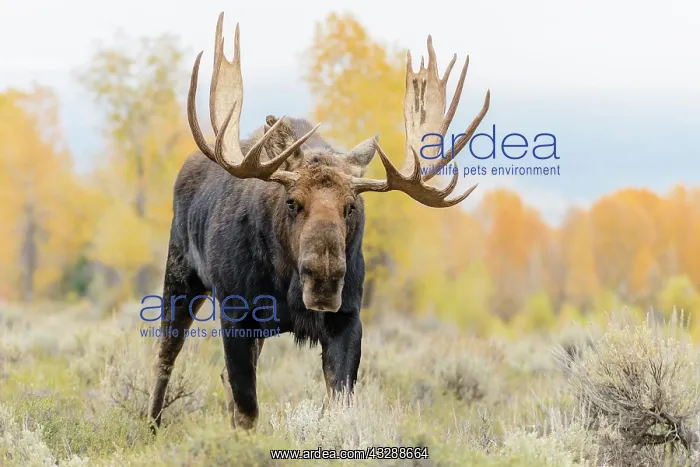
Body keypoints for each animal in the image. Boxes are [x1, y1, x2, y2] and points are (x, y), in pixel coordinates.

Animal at [147, 11, 490, 431]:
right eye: (293, 202)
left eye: (351, 207)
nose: (324, 278)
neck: (286, 284)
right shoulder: (236, 312)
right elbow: (247, 409)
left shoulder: (348, 319)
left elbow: (338, 402)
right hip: (179, 274)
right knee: (165, 355)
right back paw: (151, 424)